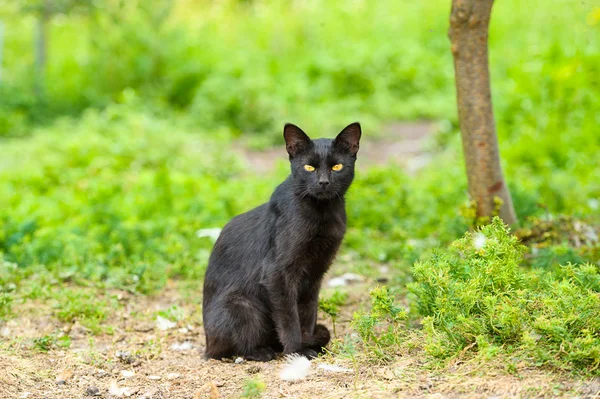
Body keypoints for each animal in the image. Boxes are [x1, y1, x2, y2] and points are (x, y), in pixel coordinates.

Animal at [202, 122, 360, 362]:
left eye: (337, 166)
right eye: (309, 168)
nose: (323, 182)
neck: (322, 214)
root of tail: (206, 345)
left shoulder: (315, 275)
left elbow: (307, 313)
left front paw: (310, 343)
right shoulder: (277, 273)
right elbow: (289, 318)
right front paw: (297, 350)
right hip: (240, 304)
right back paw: (262, 352)